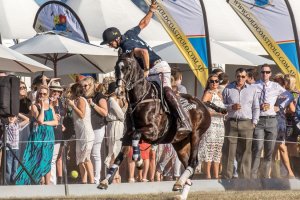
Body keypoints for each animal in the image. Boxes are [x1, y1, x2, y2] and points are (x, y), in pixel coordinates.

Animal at [98, 52, 211, 191]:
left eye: (128, 68)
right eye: (115, 68)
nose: (119, 91)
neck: (141, 99)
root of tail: (203, 104)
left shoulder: (153, 132)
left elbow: (136, 135)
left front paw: (139, 161)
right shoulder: (128, 134)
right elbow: (121, 154)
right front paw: (105, 181)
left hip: (196, 134)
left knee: (193, 161)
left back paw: (180, 182)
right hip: (179, 142)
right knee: (186, 162)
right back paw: (181, 183)